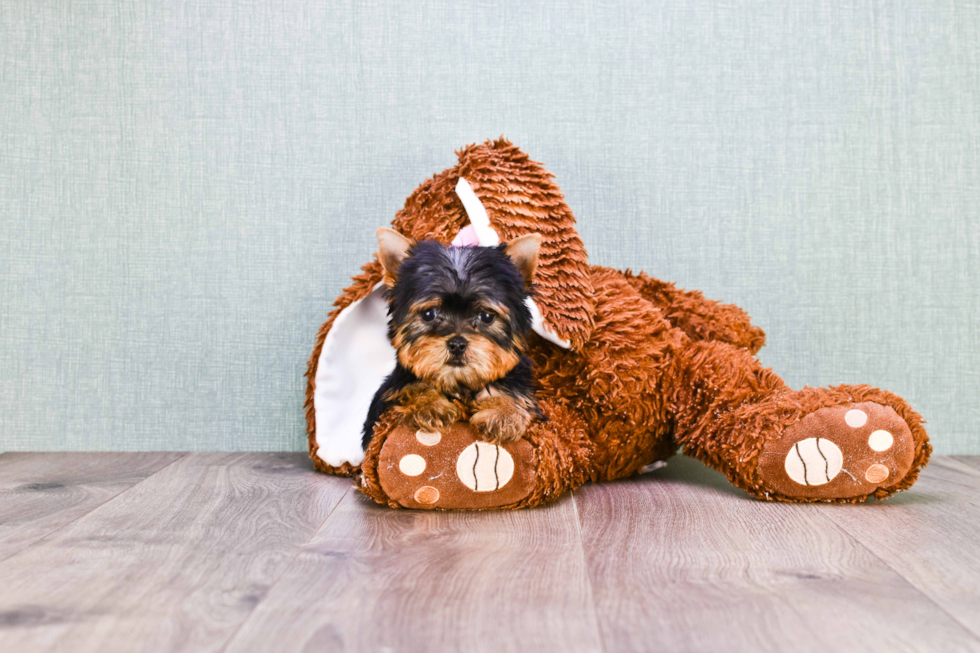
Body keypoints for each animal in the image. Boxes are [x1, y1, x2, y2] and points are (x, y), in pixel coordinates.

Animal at [362, 227, 544, 450]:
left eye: (486, 316)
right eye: (429, 314)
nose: (457, 344)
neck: (458, 383)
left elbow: (510, 392)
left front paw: (503, 414)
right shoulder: (394, 389)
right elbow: (412, 387)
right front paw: (430, 405)